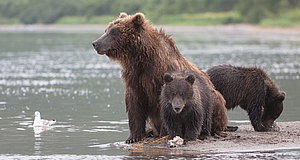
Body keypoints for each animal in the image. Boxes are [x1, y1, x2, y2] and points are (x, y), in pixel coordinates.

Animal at [92, 12, 226, 142]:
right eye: (106, 30)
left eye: (114, 31)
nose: (95, 43)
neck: (141, 57)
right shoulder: (135, 78)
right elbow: (134, 105)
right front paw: (133, 137)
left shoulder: (159, 76)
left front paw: (164, 133)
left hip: (214, 99)